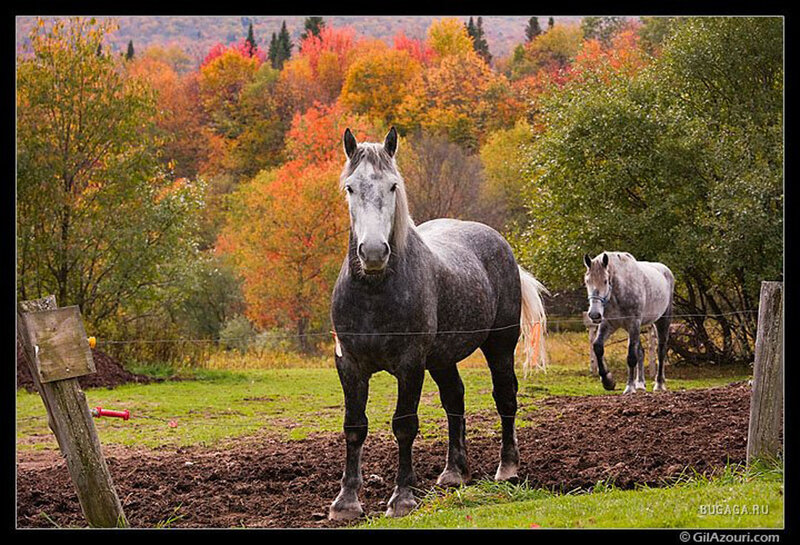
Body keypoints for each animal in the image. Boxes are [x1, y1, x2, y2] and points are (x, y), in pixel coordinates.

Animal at [328, 127, 548, 520]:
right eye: (350, 188)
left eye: (393, 186)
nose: (373, 252)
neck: (374, 292)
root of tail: (498, 242)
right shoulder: (349, 363)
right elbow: (354, 426)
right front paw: (346, 502)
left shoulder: (410, 363)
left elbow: (404, 424)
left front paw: (402, 498)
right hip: (443, 359)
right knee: (454, 398)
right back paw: (453, 473)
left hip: (499, 346)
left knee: (505, 396)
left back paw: (507, 469)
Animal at [583, 251, 675, 394]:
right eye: (587, 281)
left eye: (605, 281)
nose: (594, 314)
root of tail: (666, 270)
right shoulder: (608, 324)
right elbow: (597, 347)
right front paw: (608, 381)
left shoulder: (634, 323)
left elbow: (631, 357)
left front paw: (629, 387)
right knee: (641, 351)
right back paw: (640, 384)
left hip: (662, 321)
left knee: (660, 351)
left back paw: (659, 384)